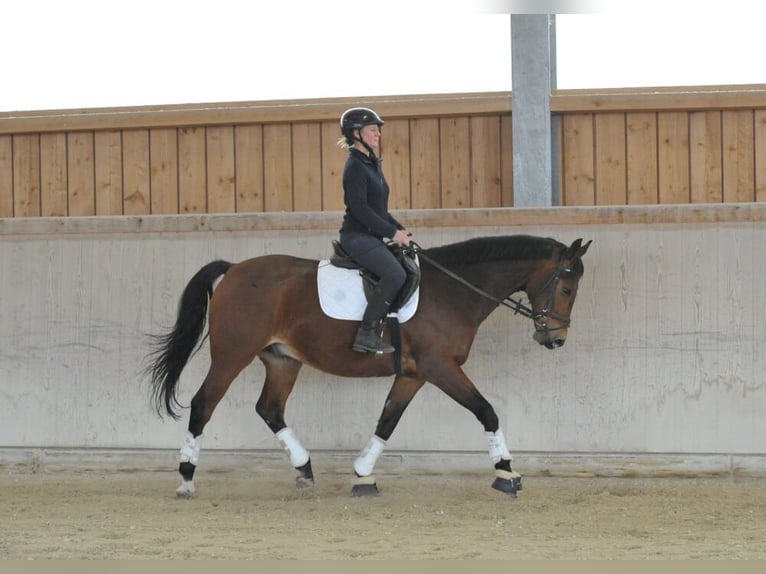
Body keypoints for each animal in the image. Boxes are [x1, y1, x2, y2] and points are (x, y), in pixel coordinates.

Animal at [145, 234, 591, 499]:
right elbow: (487, 410)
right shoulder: (439, 367)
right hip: (232, 354)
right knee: (204, 404)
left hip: (282, 360)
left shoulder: (414, 374)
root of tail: (235, 269)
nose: (555, 339)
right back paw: (186, 477)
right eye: (567, 288)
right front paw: (506, 473)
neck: (452, 291)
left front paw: (363, 475)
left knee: (269, 408)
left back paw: (305, 469)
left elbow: (387, 421)